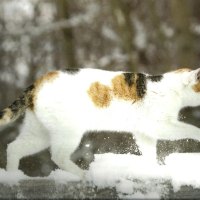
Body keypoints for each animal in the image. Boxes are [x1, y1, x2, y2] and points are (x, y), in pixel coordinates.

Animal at [0, 68, 200, 177]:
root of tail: (37, 83)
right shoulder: (159, 125)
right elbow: (191, 128)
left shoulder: (143, 131)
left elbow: (149, 152)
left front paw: (153, 170)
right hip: (68, 132)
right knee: (58, 156)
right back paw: (83, 175)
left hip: (38, 132)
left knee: (13, 147)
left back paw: (13, 176)